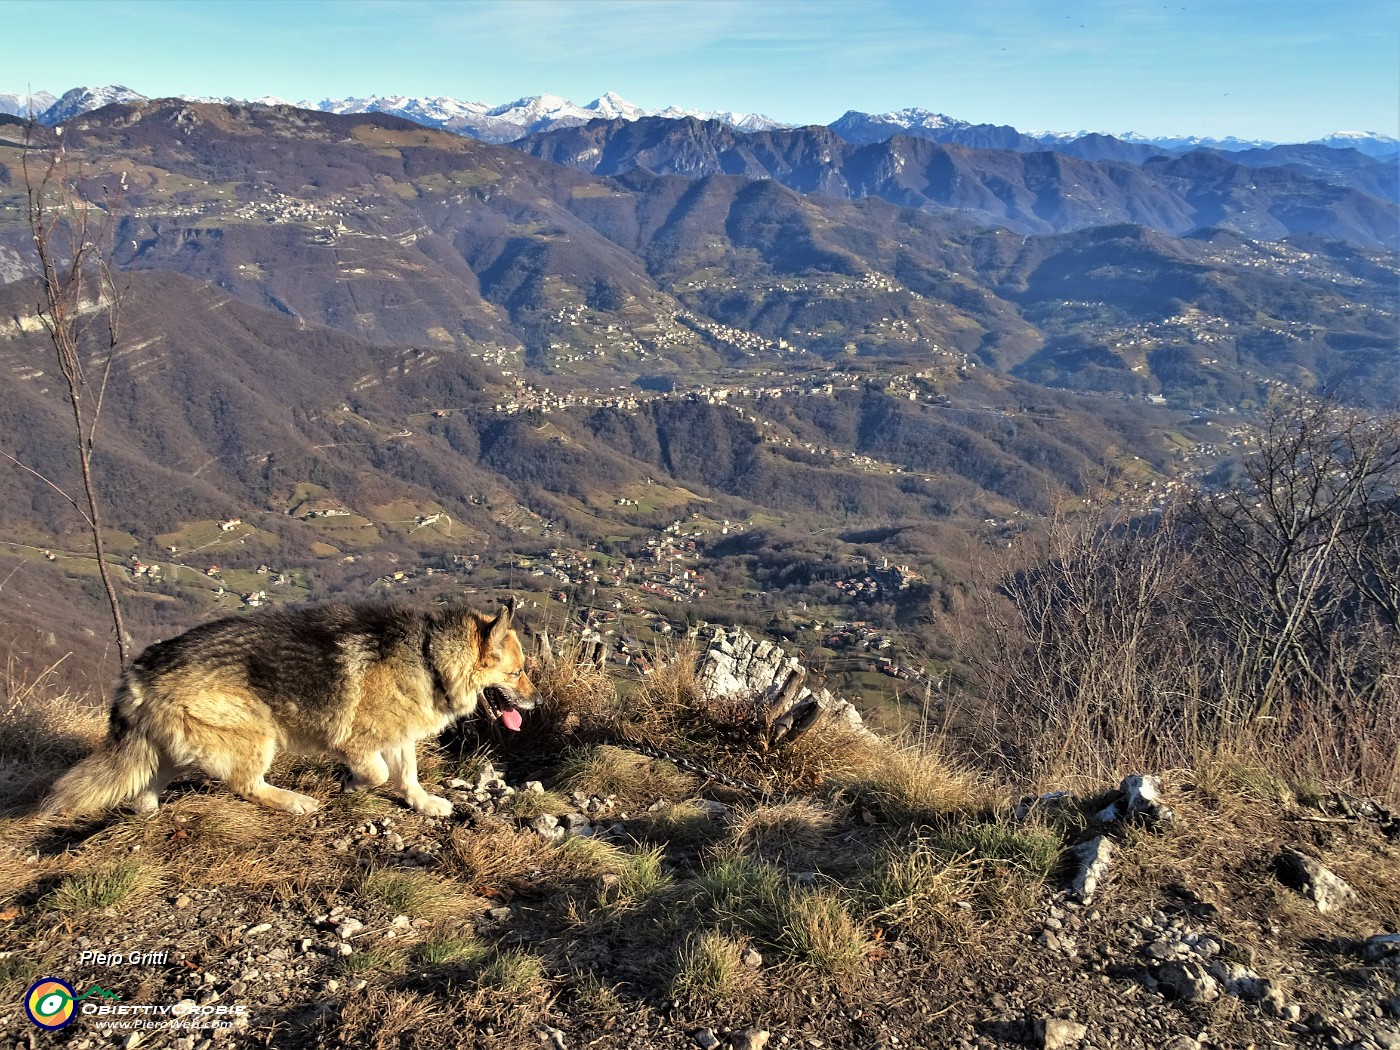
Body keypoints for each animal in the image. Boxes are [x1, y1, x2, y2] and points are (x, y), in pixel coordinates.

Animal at [45, 599, 534, 823]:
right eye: (517, 673)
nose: (540, 702)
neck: (431, 656)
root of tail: (140, 669)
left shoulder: (399, 738)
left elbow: (408, 775)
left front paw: (424, 803)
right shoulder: (357, 742)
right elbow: (378, 773)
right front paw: (353, 784)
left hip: (170, 748)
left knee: (146, 783)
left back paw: (149, 812)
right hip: (257, 736)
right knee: (245, 785)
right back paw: (292, 801)